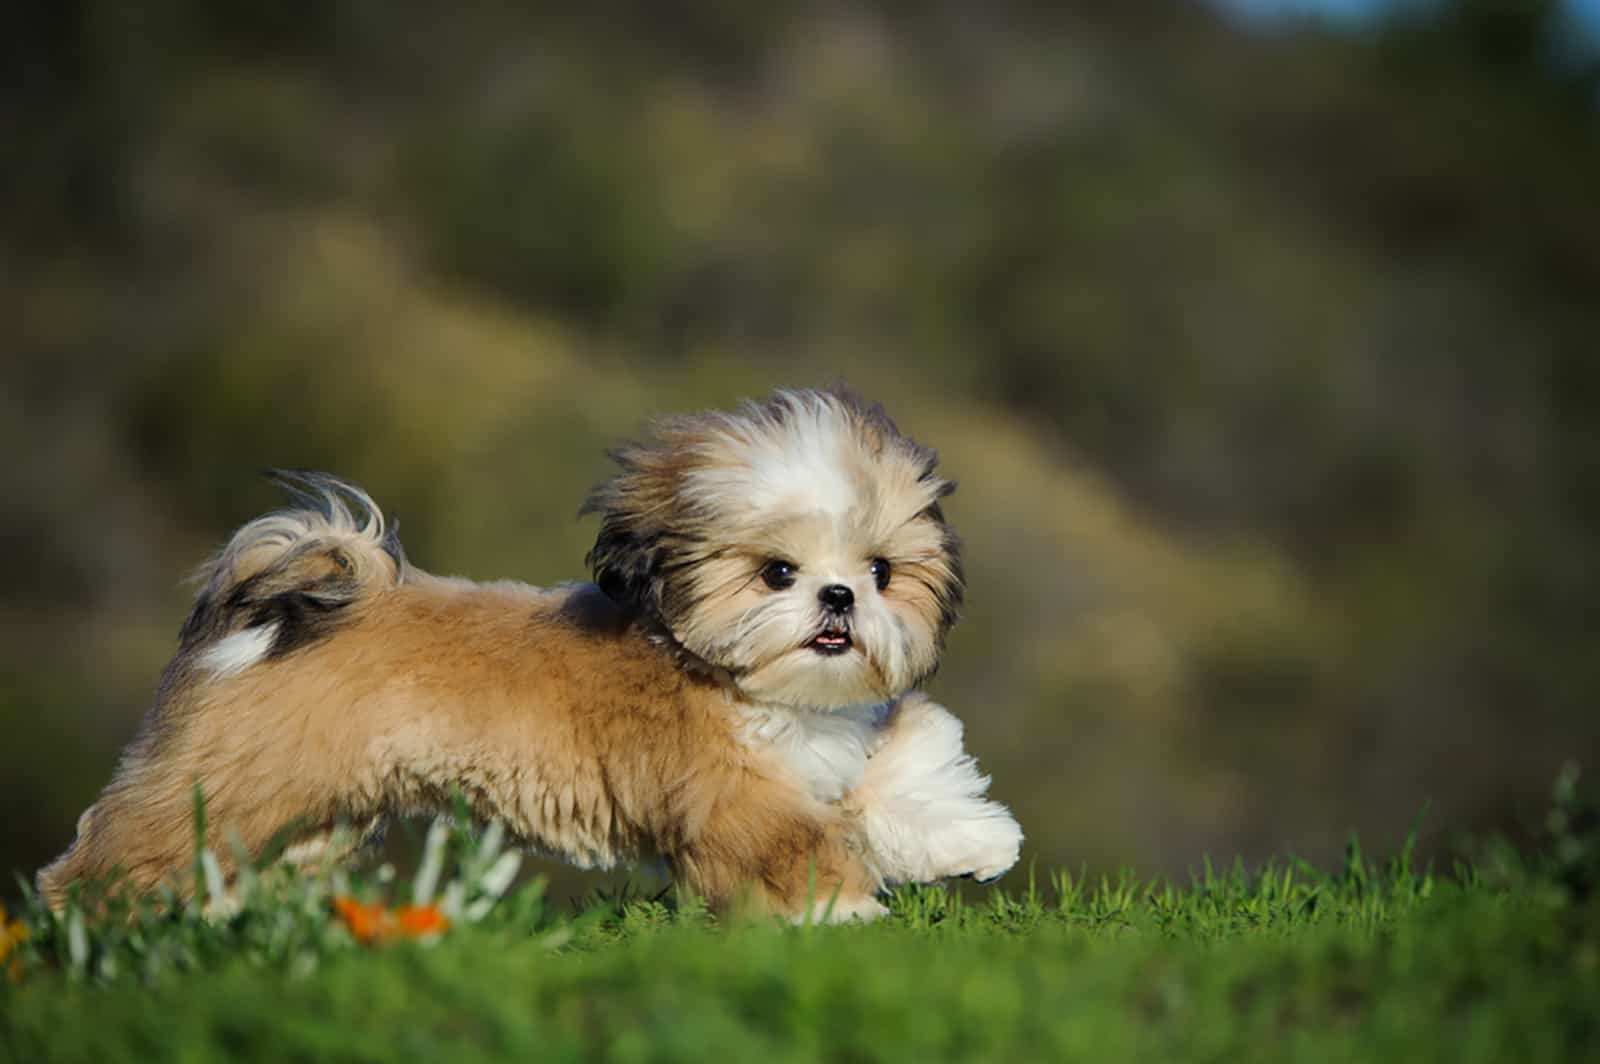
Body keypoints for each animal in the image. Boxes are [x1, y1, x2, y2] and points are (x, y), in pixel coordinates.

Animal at [40, 385, 1024, 915]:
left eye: (881, 571)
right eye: (778, 571)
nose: (838, 599)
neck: (751, 686)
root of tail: (291, 604)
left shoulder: (832, 749)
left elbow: (898, 771)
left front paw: (968, 841)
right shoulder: (726, 792)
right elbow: (785, 842)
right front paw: (841, 912)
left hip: (306, 815)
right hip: (230, 784)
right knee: (127, 851)